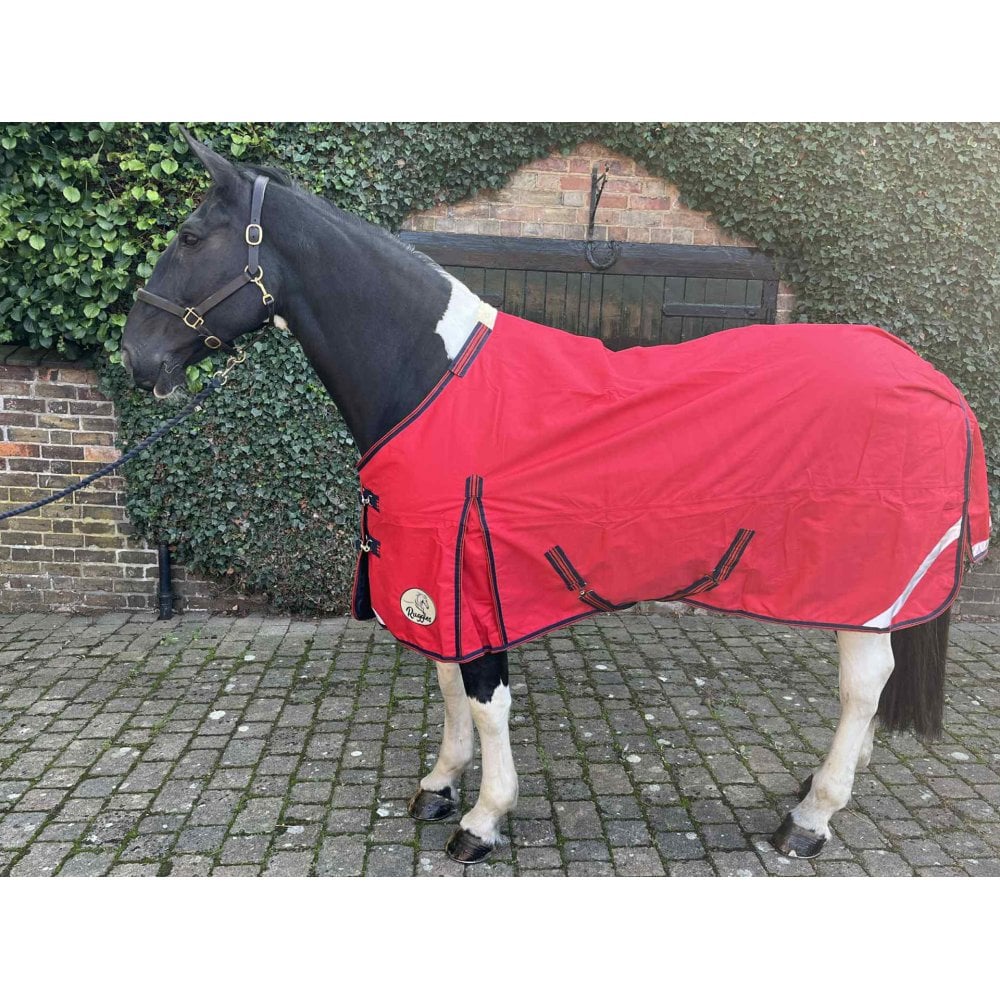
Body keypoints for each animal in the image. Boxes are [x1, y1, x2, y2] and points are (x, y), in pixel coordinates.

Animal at [121, 130, 991, 866]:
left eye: (191, 237)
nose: (137, 356)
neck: (431, 379)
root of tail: (934, 382)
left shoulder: (472, 571)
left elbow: (484, 700)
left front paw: (483, 819)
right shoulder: (437, 578)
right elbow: (447, 684)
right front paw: (440, 786)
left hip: (864, 573)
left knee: (862, 683)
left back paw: (812, 817)